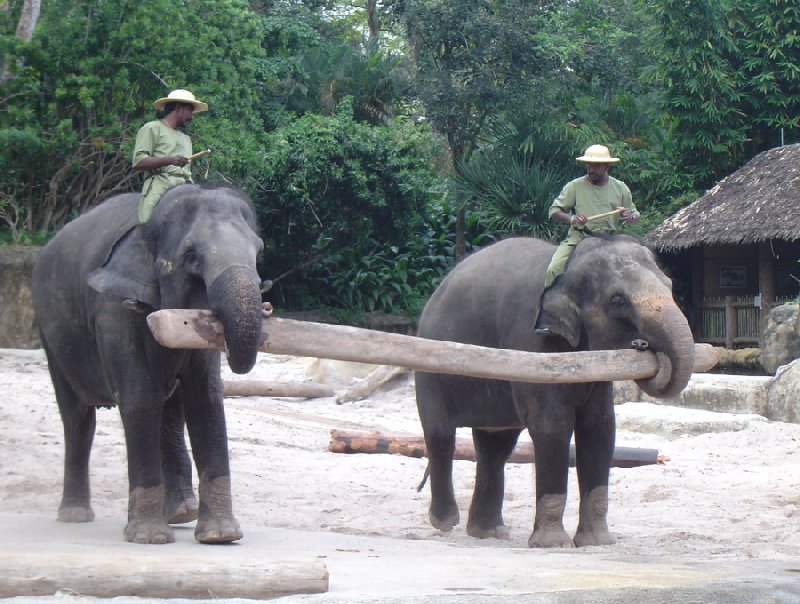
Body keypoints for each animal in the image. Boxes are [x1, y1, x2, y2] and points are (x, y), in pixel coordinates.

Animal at [31, 183, 264, 544]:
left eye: (259, 252)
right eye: (191, 256)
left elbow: (206, 401)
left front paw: (220, 537)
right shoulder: (114, 308)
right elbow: (139, 398)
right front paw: (150, 538)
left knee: (168, 411)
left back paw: (180, 513)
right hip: (50, 333)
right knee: (78, 417)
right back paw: (75, 516)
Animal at [416, 235, 696, 548]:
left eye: (670, 286)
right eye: (617, 300)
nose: (642, 345)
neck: (568, 266)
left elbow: (600, 428)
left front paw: (596, 542)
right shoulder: (533, 343)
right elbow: (552, 427)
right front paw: (553, 544)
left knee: (495, 445)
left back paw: (489, 532)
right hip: (430, 367)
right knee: (441, 435)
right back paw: (444, 522)